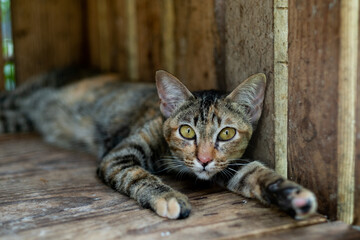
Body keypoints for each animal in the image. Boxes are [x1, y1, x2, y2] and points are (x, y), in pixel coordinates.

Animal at [0, 67, 316, 219]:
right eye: (187, 132)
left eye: (226, 134)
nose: (203, 160)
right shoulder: (120, 155)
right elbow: (139, 176)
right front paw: (169, 197)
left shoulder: (229, 166)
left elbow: (255, 174)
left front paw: (291, 194)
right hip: (20, 97)